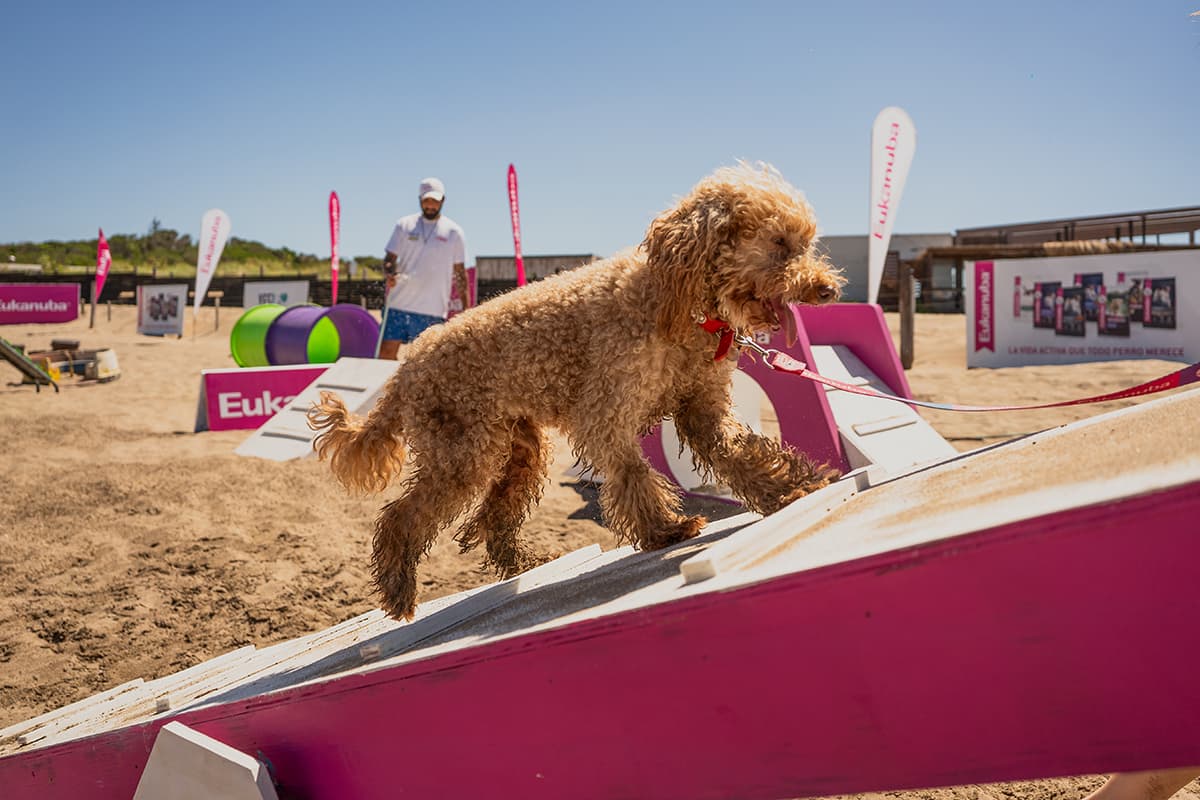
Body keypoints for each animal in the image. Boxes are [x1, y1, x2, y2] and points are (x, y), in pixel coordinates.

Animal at [314, 159, 849, 618]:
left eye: (806, 243)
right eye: (779, 242)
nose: (828, 289)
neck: (675, 299)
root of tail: (405, 370)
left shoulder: (703, 408)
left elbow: (741, 452)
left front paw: (792, 488)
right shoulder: (605, 412)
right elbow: (632, 473)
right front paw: (665, 529)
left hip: (518, 449)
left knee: (493, 515)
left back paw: (524, 564)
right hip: (462, 453)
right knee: (402, 517)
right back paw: (398, 590)